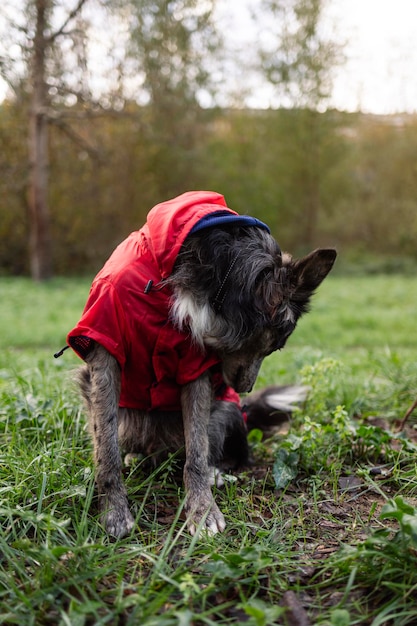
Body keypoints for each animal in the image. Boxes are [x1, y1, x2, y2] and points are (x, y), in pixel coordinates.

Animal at [63, 191, 336, 536]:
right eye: (274, 345)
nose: (243, 389)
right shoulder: (104, 352)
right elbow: (106, 449)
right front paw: (114, 512)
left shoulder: (194, 369)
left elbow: (197, 450)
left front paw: (202, 510)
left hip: (226, 411)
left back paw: (214, 473)